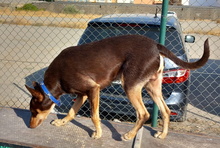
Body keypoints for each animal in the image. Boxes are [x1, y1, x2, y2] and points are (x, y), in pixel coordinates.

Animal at [25, 35, 210, 141]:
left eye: (35, 112)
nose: (30, 127)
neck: (57, 79)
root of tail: (155, 45)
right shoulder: (82, 94)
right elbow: (71, 112)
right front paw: (62, 122)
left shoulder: (93, 89)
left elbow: (94, 116)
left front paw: (98, 134)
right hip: (152, 87)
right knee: (165, 111)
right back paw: (163, 135)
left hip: (130, 86)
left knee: (144, 114)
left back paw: (129, 135)